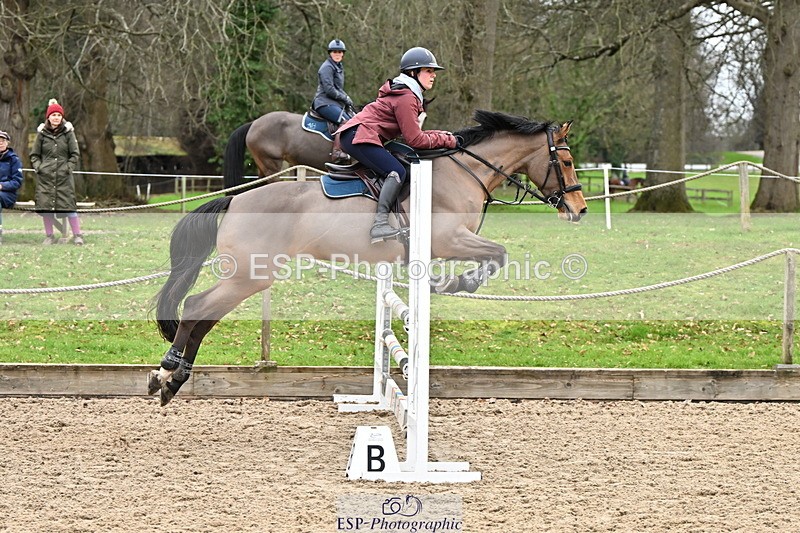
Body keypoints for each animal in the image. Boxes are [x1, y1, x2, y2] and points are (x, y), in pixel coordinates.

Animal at [150, 110, 588, 406]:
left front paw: (452, 281)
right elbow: (498, 253)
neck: (462, 173)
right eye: (566, 162)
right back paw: (168, 369)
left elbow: (496, 254)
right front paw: (459, 282)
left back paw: (173, 379)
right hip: (250, 275)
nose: (579, 209)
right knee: (196, 306)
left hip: (251, 275)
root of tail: (234, 200)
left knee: (204, 316)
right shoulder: (448, 240)